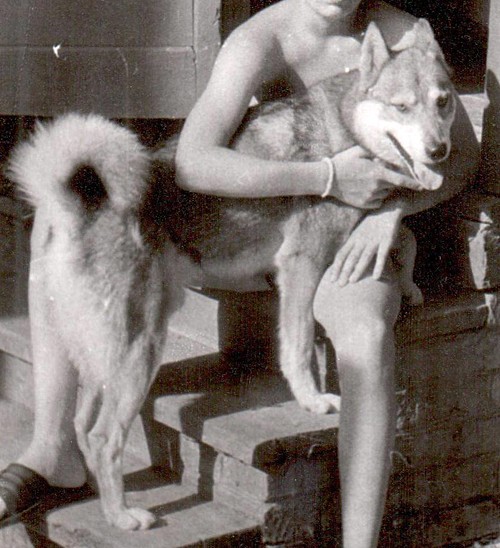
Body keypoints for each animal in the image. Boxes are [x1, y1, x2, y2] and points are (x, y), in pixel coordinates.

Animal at [8, 19, 455, 530]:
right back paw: (122, 516)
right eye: (402, 107)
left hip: (104, 354)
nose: (439, 149)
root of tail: (78, 206)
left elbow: (404, 237)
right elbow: (299, 346)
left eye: (443, 101)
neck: (344, 125)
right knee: (104, 438)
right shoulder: (302, 264)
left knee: (83, 425)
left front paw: (411, 284)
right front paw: (312, 400)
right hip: (139, 350)